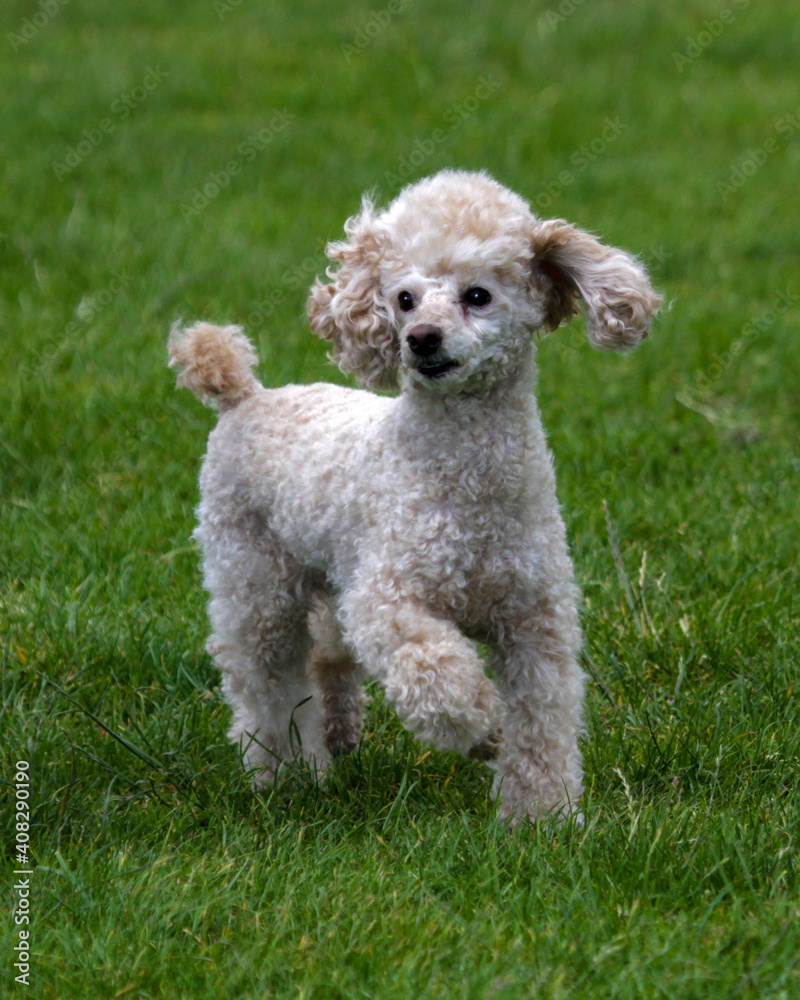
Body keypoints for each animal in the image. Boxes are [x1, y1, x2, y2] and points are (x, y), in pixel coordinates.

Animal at [169, 172, 664, 824]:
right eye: (403, 299)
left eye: (477, 295)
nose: (421, 339)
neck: (468, 485)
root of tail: (245, 395)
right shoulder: (388, 600)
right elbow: (439, 674)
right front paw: (485, 731)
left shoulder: (536, 619)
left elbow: (543, 721)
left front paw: (544, 816)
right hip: (253, 576)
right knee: (266, 682)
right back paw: (287, 774)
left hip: (329, 567)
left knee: (327, 651)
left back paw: (338, 732)